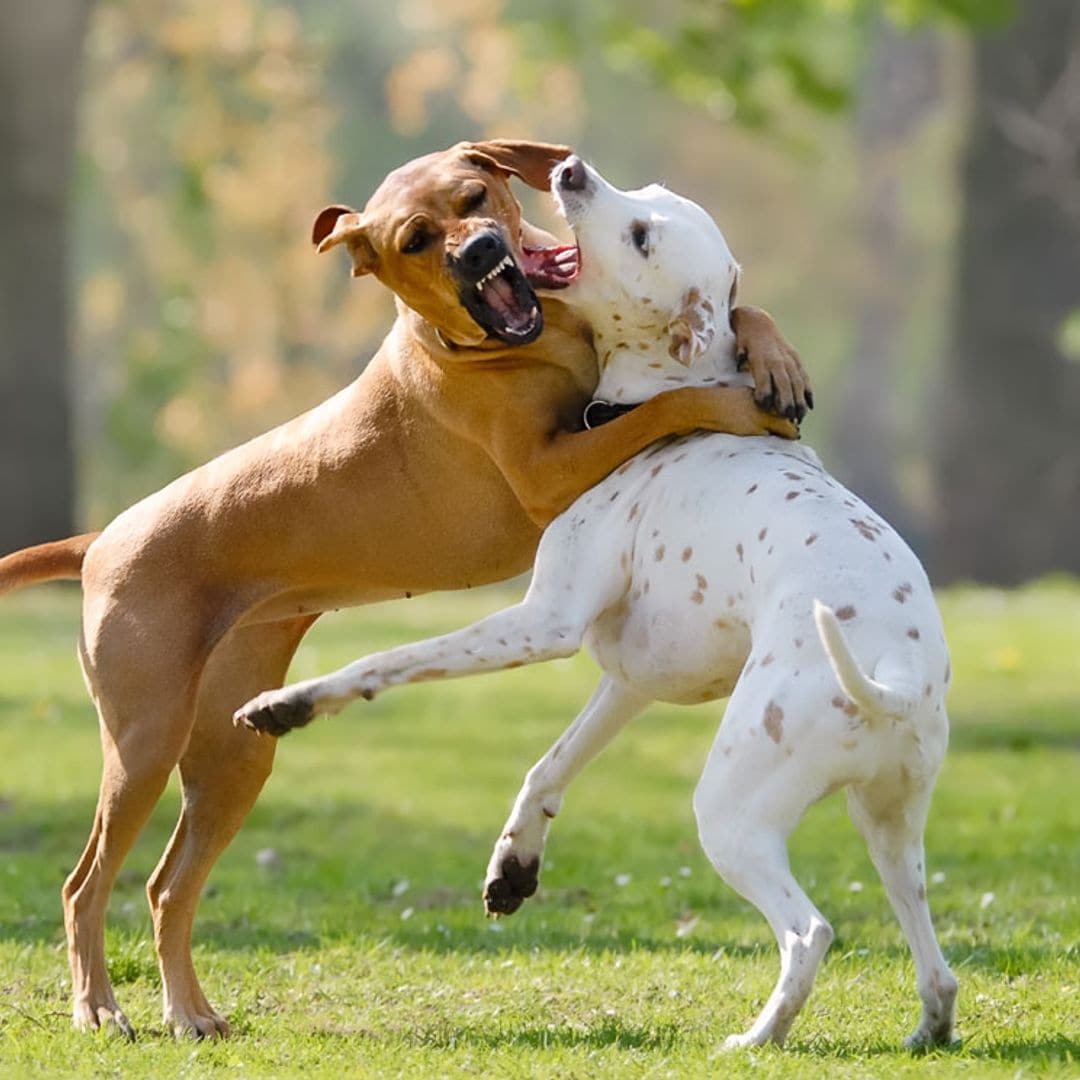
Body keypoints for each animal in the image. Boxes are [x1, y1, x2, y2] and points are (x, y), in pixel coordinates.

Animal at [2, 141, 812, 1036]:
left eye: (476, 195)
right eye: (417, 239)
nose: (482, 252)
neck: (532, 337)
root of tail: (102, 540)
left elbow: (740, 316)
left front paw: (774, 358)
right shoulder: (550, 470)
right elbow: (665, 407)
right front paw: (739, 404)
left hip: (233, 754)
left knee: (165, 886)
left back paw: (190, 1012)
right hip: (144, 740)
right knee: (85, 884)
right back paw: (99, 1007)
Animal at [238, 156, 963, 1049]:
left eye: (643, 234)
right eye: (645, 197)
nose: (571, 167)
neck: (663, 402)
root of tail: (895, 674)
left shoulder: (542, 624)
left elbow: (387, 659)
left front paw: (288, 703)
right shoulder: (629, 680)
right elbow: (548, 764)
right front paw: (513, 864)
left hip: (732, 812)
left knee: (809, 932)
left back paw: (756, 1038)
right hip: (891, 832)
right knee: (933, 955)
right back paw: (928, 1027)